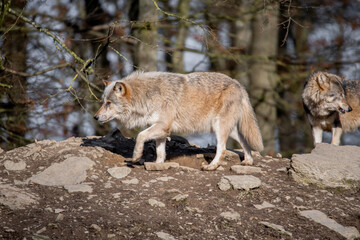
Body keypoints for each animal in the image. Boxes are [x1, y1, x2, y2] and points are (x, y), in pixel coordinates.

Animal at [94, 71, 262, 171]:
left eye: (108, 103)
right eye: (102, 102)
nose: (95, 117)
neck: (146, 96)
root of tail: (239, 84)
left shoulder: (162, 126)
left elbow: (140, 136)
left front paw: (135, 157)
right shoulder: (160, 130)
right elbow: (160, 151)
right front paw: (158, 165)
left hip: (219, 128)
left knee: (223, 149)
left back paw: (211, 166)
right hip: (229, 130)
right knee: (245, 143)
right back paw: (248, 161)